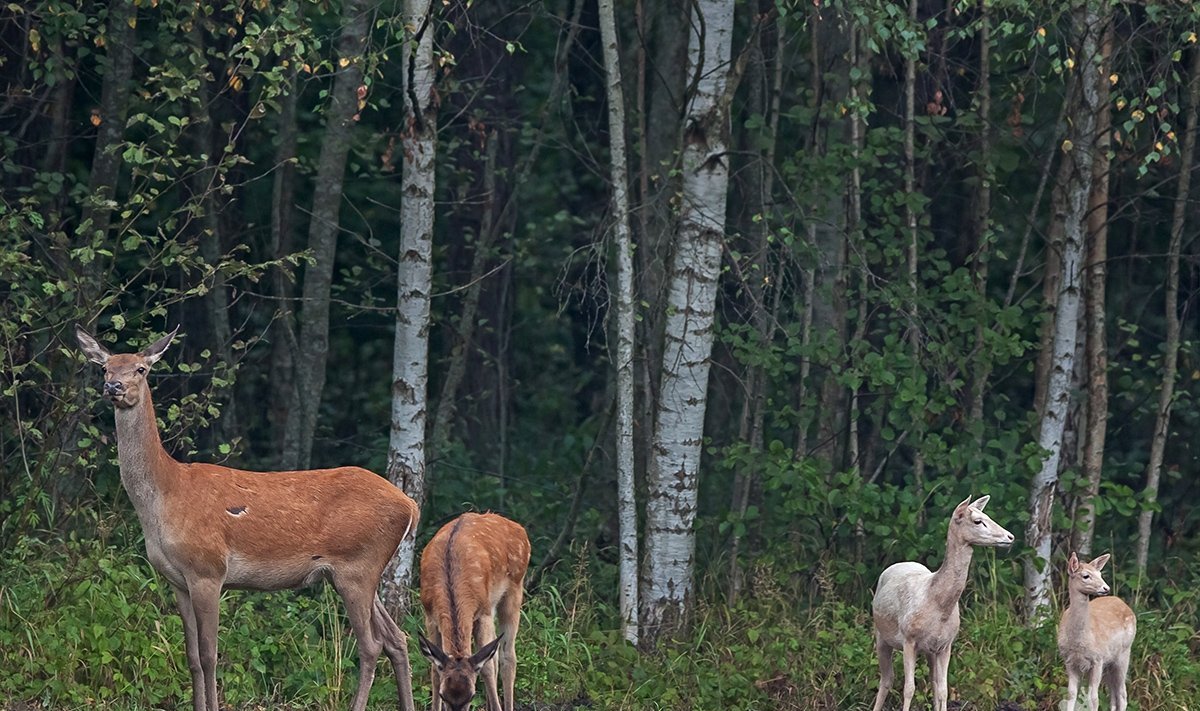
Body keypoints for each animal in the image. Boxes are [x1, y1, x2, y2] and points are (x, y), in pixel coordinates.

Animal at [75, 324, 420, 711]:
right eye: (105, 367)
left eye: (141, 369)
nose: (114, 387)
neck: (165, 496)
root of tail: (410, 505)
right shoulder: (177, 580)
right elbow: (191, 657)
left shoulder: (208, 569)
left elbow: (209, 655)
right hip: (357, 571)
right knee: (397, 637)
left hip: (357, 566)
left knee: (371, 644)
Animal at [417, 511, 530, 711]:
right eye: (443, 696)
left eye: (471, 695)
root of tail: (519, 528)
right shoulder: (429, 616)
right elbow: (434, 671)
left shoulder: (482, 612)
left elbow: (487, 668)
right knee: (495, 652)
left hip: (514, 590)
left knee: (507, 657)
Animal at [873, 494, 1012, 711]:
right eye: (977, 521)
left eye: (987, 516)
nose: (1010, 537)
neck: (939, 605)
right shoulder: (908, 638)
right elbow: (909, 689)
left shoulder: (945, 645)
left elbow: (943, 690)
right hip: (880, 635)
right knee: (886, 679)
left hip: (929, 650)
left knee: (931, 682)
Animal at [1060, 552, 1132, 711]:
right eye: (1086, 575)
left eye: (1100, 573)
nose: (1106, 588)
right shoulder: (1069, 661)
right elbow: (1071, 695)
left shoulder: (1097, 659)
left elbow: (1093, 698)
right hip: (1109, 663)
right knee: (1113, 695)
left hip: (1124, 654)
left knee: (1122, 694)